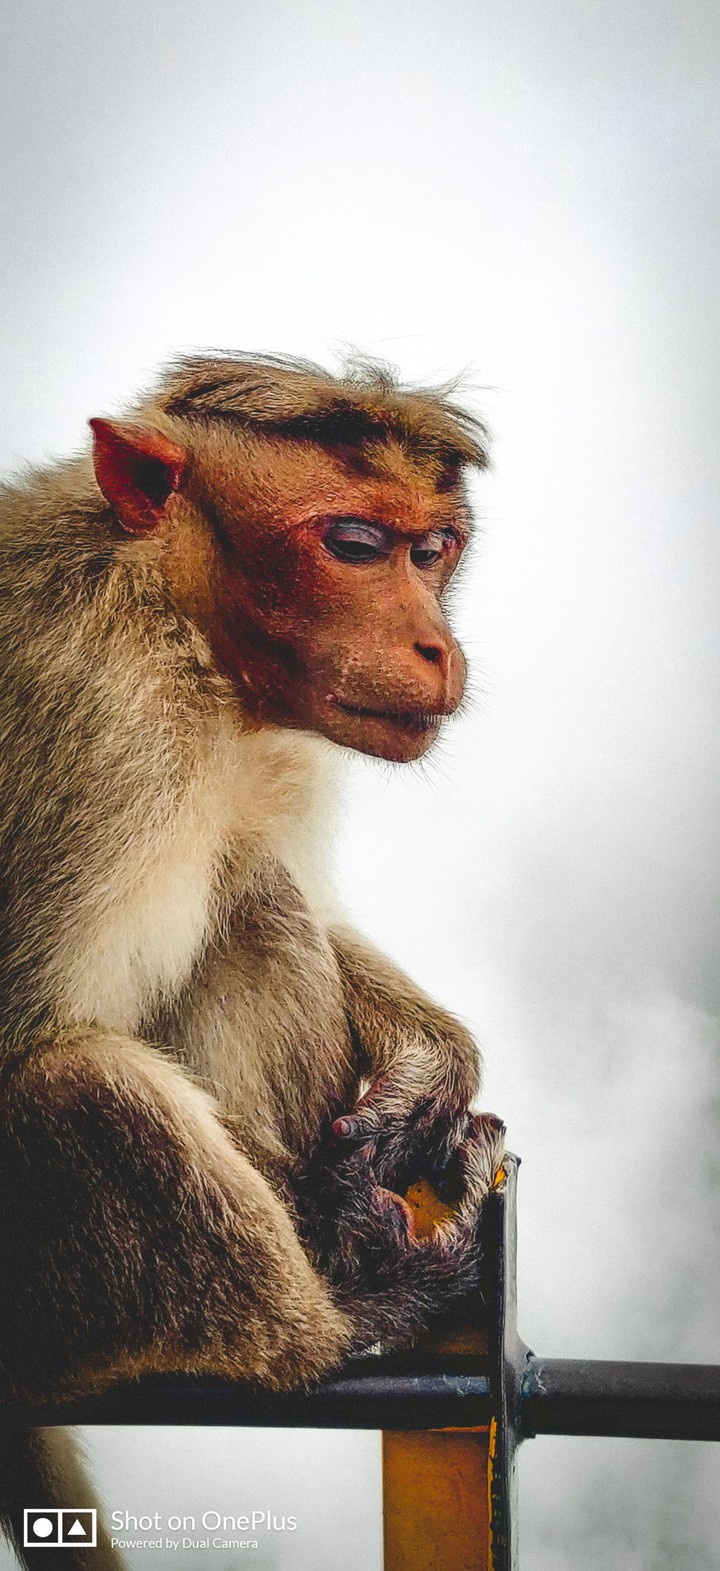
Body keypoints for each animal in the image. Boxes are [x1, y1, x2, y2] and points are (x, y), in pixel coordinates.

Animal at [0, 352, 504, 1567]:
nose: (436, 644)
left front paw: (431, 1062)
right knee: (81, 1077)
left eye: (434, 547)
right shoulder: (99, 724)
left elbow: (296, 890)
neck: (177, 623)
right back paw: (343, 1322)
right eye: (355, 544)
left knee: (254, 892)